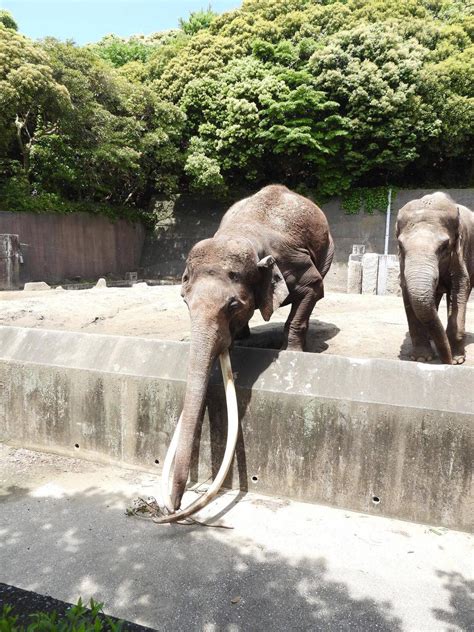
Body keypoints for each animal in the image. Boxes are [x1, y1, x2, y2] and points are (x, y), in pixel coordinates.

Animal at [161, 185, 336, 520]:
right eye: (185, 301)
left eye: (232, 305)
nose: (172, 508)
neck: (241, 236)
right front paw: (239, 342)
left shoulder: (294, 262)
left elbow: (313, 288)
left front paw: (292, 352)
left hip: (329, 248)